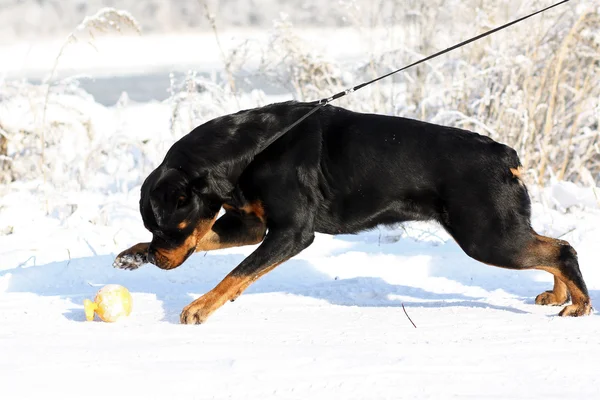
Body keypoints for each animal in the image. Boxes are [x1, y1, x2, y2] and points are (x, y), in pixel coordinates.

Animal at [112, 101, 592, 324]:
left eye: (171, 225)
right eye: (153, 229)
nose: (159, 259)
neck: (249, 151)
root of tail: (504, 154)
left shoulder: (289, 232)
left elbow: (236, 274)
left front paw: (199, 306)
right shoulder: (249, 225)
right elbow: (216, 247)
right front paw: (132, 255)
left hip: (486, 234)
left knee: (562, 249)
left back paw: (580, 306)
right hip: (497, 230)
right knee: (553, 246)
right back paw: (560, 295)